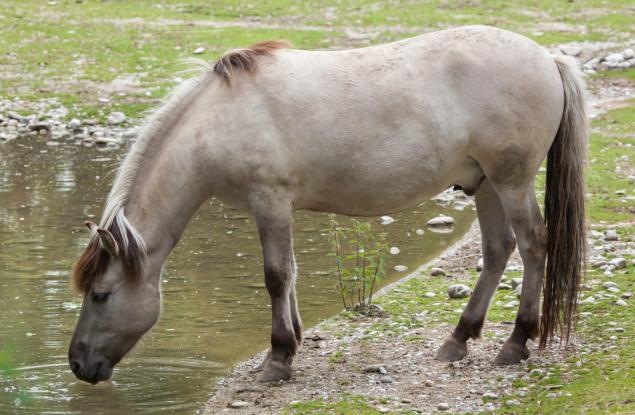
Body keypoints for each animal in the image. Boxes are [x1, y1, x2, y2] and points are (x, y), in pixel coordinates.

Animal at [68, 24, 588, 386]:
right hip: (485, 184)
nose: (76, 363)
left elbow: (276, 277)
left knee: (533, 245)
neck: (217, 119)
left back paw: (516, 341)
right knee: (498, 250)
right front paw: (293, 342)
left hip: (511, 182)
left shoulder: (270, 201)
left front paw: (278, 358)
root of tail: (547, 57)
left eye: (101, 295)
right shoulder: (278, 208)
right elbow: (291, 274)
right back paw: (458, 339)